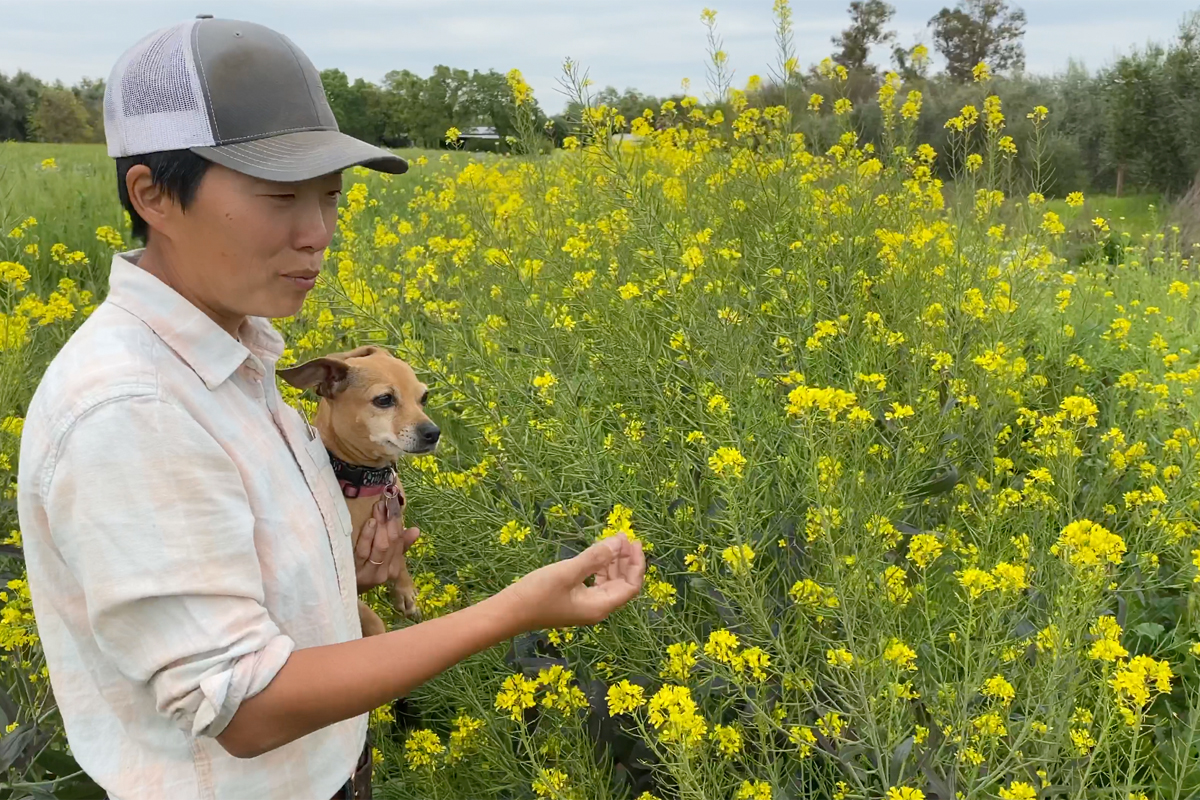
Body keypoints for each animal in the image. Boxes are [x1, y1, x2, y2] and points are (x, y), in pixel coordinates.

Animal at [276, 345, 436, 638]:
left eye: (424, 397)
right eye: (384, 399)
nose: (434, 432)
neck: (365, 478)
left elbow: (399, 557)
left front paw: (405, 593)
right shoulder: (344, 577)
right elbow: (367, 618)